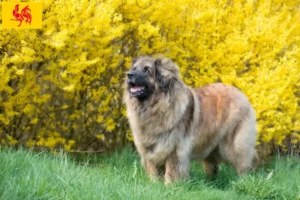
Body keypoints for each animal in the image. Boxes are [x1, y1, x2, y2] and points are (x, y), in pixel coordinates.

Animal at [123, 55, 256, 184]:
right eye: (134, 68)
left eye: (146, 70)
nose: (129, 75)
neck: (155, 106)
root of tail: (241, 94)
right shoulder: (149, 148)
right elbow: (152, 168)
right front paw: (154, 184)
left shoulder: (174, 147)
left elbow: (171, 170)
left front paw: (168, 186)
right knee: (212, 166)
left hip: (234, 145)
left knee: (241, 166)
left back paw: (242, 183)